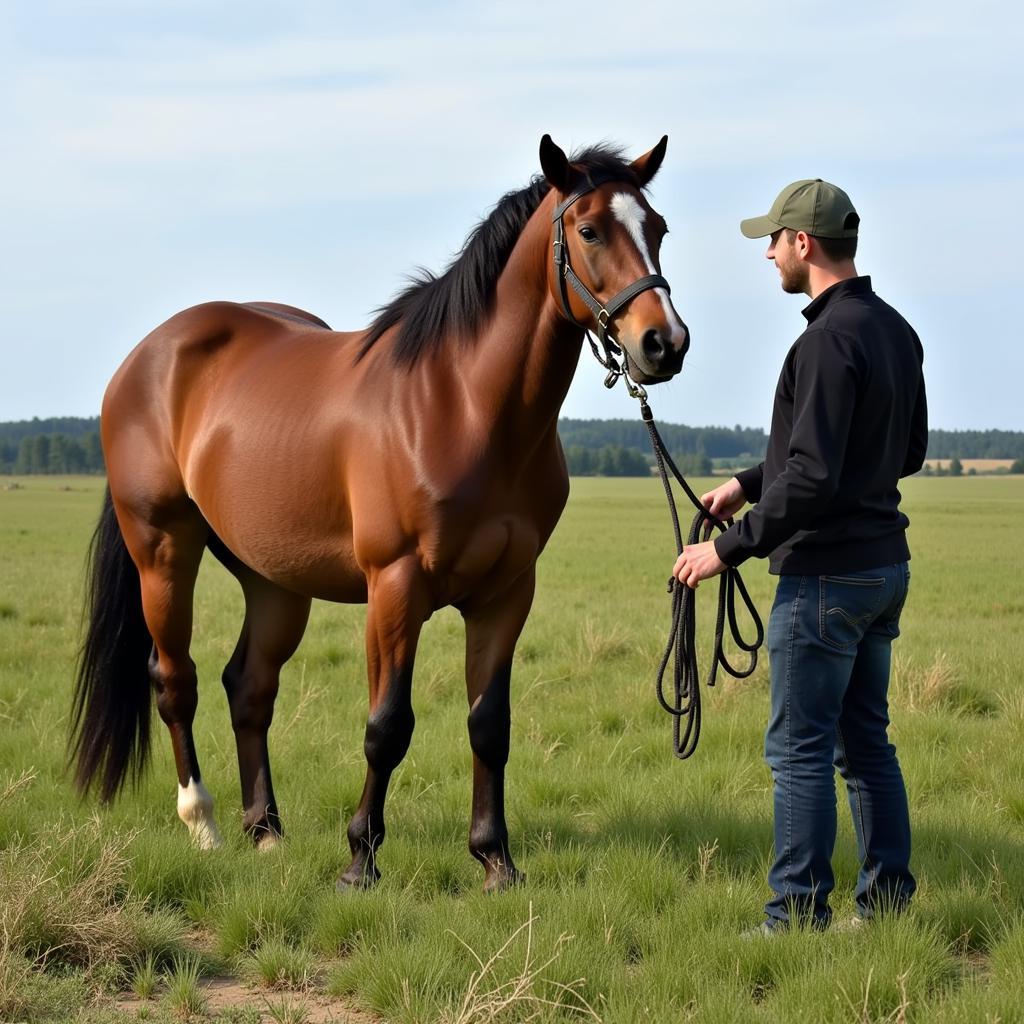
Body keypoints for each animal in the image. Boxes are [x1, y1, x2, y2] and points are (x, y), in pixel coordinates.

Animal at [70, 134, 688, 888]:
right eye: (592, 230)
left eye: (658, 229)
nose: (664, 343)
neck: (463, 405)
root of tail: (146, 358)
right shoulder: (395, 587)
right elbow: (387, 726)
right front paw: (360, 859)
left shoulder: (507, 593)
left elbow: (490, 725)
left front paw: (495, 859)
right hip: (162, 552)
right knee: (175, 682)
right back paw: (205, 824)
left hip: (273, 580)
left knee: (249, 686)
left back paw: (265, 831)